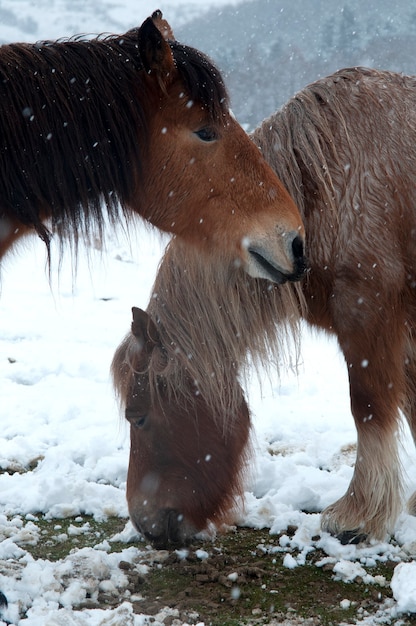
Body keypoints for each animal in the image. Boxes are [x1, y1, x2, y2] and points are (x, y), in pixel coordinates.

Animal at [112, 67, 416, 544]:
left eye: (138, 418)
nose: (146, 524)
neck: (328, 184)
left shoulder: (367, 310)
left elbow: (367, 404)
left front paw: (358, 515)